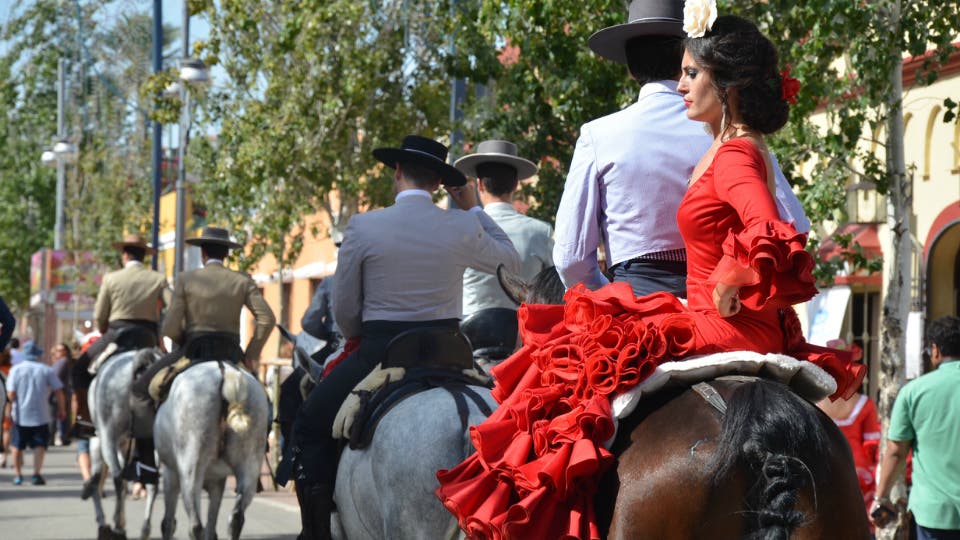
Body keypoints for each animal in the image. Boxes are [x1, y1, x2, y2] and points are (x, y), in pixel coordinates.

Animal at [88, 348, 161, 540]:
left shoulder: (100, 442)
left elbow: (97, 479)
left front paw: (104, 521)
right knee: (152, 482)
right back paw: (145, 528)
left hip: (107, 438)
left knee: (117, 477)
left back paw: (118, 526)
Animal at [156, 360, 270, 540]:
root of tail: (225, 372)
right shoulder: (217, 481)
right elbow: (212, 528)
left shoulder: (170, 472)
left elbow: (168, 523)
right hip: (250, 466)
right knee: (236, 519)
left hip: (190, 471)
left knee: (195, 525)